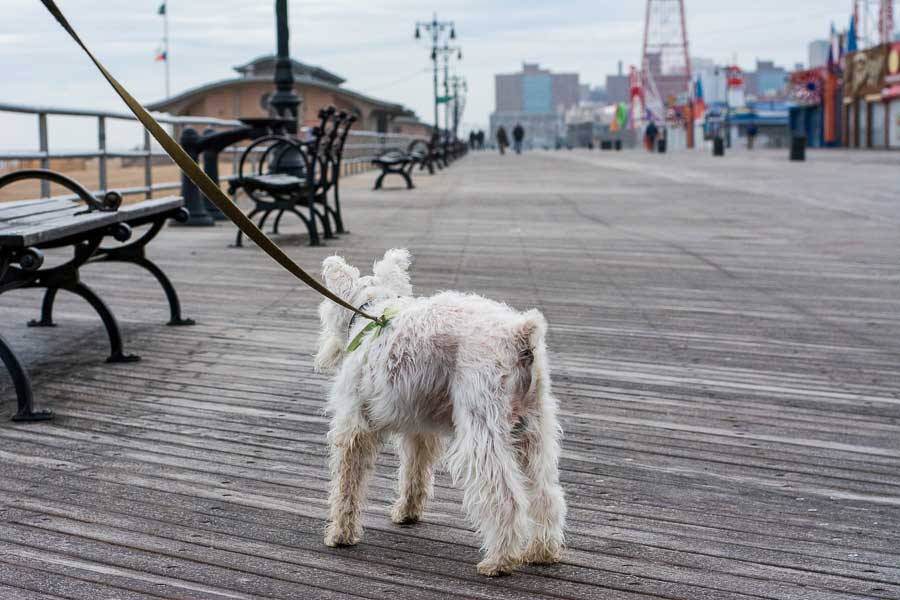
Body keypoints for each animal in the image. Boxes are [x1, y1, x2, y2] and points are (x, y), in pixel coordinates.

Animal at [314, 248, 564, 576]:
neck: (373, 311)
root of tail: (519, 334)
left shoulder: (353, 429)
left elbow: (347, 487)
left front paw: (340, 534)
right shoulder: (418, 429)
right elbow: (414, 471)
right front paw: (407, 511)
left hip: (483, 431)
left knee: (505, 496)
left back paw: (498, 560)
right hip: (533, 430)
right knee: (547, 494)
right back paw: (542, 551)